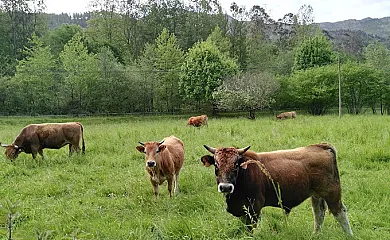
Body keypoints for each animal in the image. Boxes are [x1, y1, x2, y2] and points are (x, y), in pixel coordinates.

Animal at [201, 143, 354, 235]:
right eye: (216, 165)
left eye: (236, 165)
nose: (225, 187)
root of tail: (321, 146)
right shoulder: (244, 210)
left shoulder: (255, 209)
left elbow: (251, 229)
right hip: (316, 195)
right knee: (318, 213)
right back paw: (315, 235)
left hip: (331, 193)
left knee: (339, 212)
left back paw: (349, 235)